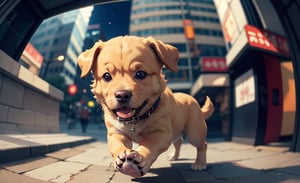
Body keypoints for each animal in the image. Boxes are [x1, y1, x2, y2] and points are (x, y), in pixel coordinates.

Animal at [77, 35, 213, 177]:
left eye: (140, 74)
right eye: (106, 76)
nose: (122, 95)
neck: (134, 120)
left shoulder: (162, 133)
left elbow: (149, 142)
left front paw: (138, 160)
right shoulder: (115, 132)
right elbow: (117, 144)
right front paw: (121, 158)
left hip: (194, 132)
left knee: (202, 145)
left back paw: (200, 164)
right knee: (178, 142)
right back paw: (174, 156)